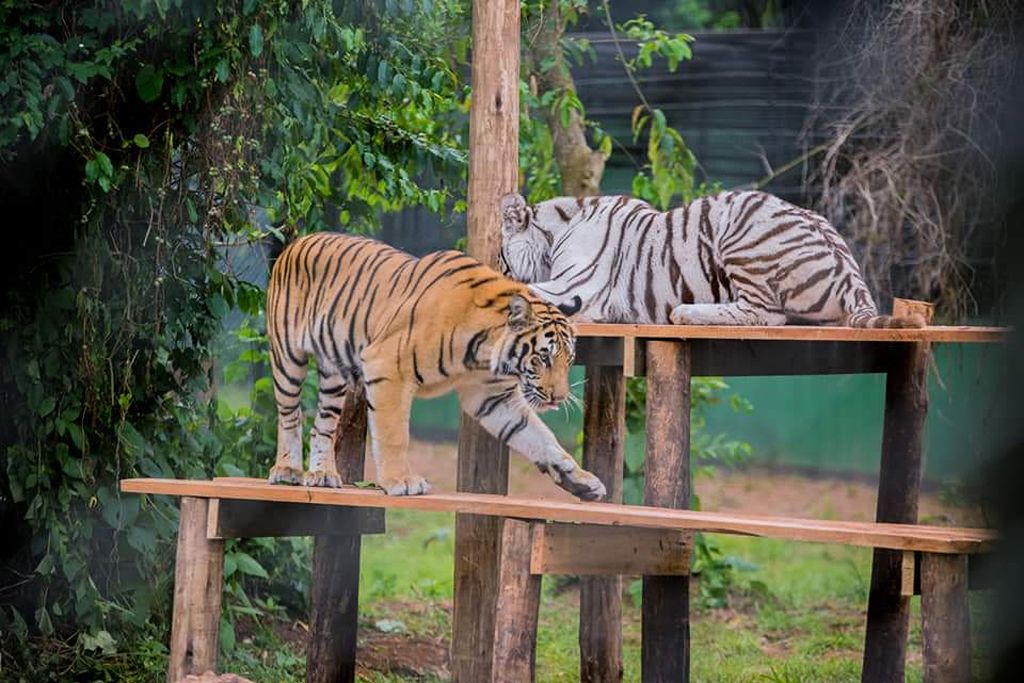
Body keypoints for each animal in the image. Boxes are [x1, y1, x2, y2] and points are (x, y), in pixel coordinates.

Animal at [262, 235, 606, 501]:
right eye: (543, 358)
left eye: (569, 361)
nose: (558, 398)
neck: (483, 352)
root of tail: (297, 241)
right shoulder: (387, 366)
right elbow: (394, 434)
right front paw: (401, 481)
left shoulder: (494, 397)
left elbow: (540, 437)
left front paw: (581, 480)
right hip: (288, 359)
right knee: (289, 415)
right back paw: (288, 470)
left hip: (334, 375)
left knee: (322, 424)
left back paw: (322, 474)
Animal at [497, 189, 929, 327]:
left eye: (501, 257)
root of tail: (853, 279)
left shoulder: (577, 285)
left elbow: (520, 288)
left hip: (740, 232)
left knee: (765, 314)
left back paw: (687, 313)